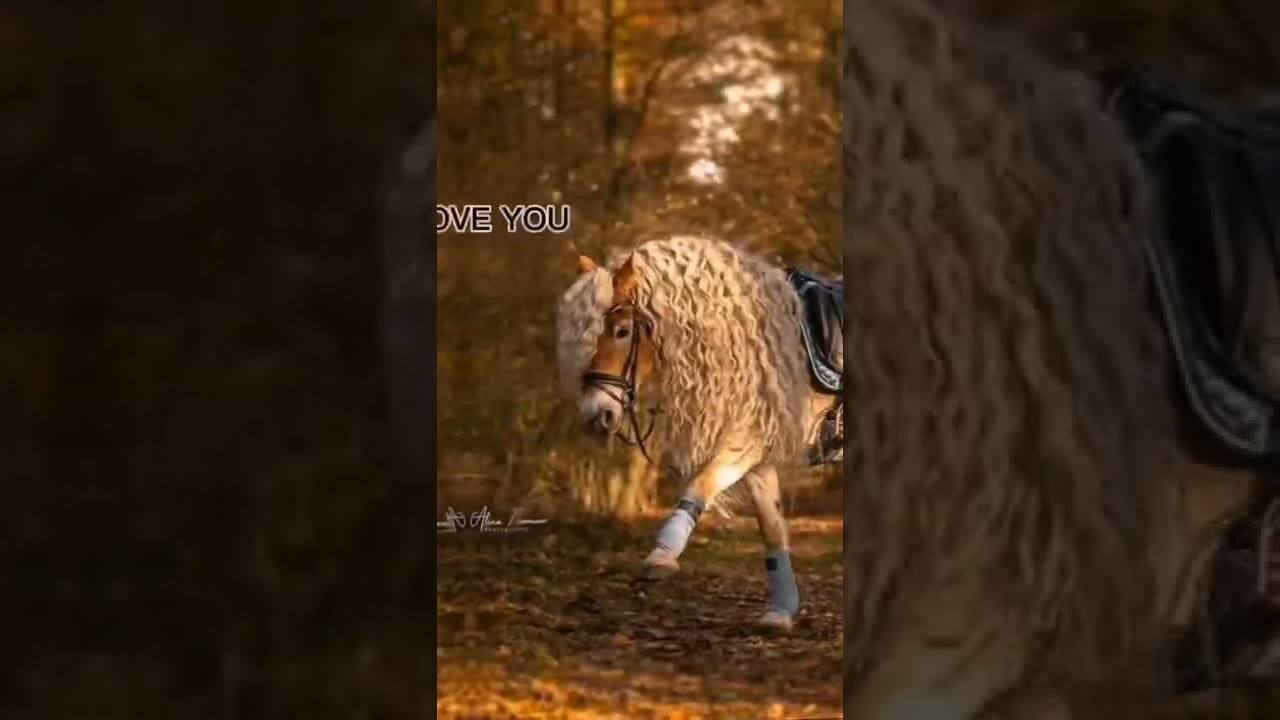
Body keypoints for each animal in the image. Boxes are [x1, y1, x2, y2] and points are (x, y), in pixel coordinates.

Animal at [555, 235, 843, 632]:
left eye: (622, 331)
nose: (598, 413)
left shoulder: (744, 444)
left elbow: (700, 486)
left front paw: (659, 558)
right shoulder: (760, 457)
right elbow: (771, 528)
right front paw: (781, 611)